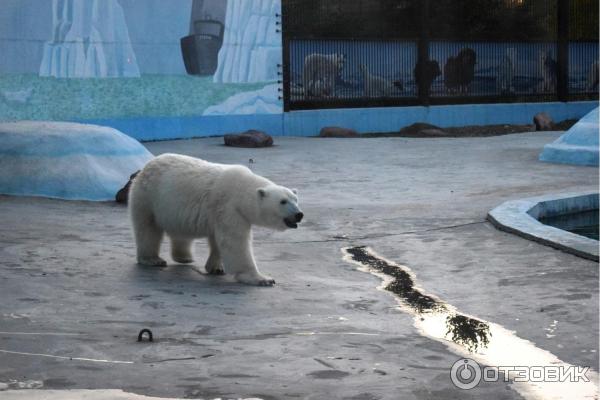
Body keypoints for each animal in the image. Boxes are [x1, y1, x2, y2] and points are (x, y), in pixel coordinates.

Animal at [129, 154, 302, 288]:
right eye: (283, 201)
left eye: (296, 200)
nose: (299, 214)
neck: (242, 191)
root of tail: (146, 166)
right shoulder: (229, 208)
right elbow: (235, 242)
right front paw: (262, 279)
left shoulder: (221, 213)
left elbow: (219, 240)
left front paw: (216, 268)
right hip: (147, 198)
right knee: (148, 228)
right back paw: (152, 259)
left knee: (181, 231)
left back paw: (184, 257)